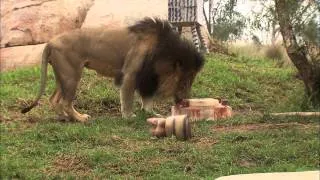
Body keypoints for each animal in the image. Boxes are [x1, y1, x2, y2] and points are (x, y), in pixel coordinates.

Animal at [21, 17, 204, 121]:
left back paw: (63, 118)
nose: (185, 101)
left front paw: (152, 114)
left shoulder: (148, 77)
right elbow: (128, 97)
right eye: (185, 82)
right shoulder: (131, 74)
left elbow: (147, 100)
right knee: (65, 102)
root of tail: (50, 42)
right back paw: (79, 119)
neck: (162, 50)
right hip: (72, 76)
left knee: (54, 99)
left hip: (63, 76)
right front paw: (129, 117)